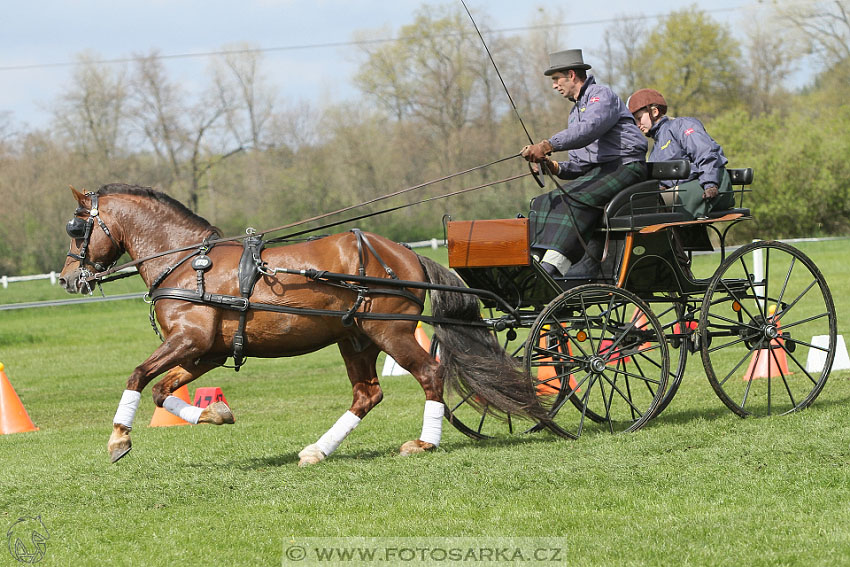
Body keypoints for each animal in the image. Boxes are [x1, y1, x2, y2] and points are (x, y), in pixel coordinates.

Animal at [58, 186, 544, 466]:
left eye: (75, 228)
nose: (67, 279)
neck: (188, 262)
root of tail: (407, 254)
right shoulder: (206, 351)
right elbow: (161, 390)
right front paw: (214, 412)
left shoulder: (188, 340)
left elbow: (137, 376)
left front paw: (118, 439)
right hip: (355, 338)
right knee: (367, 395)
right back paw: (318, 450)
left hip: (390, 331)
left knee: (430, 373)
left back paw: (425, 443)